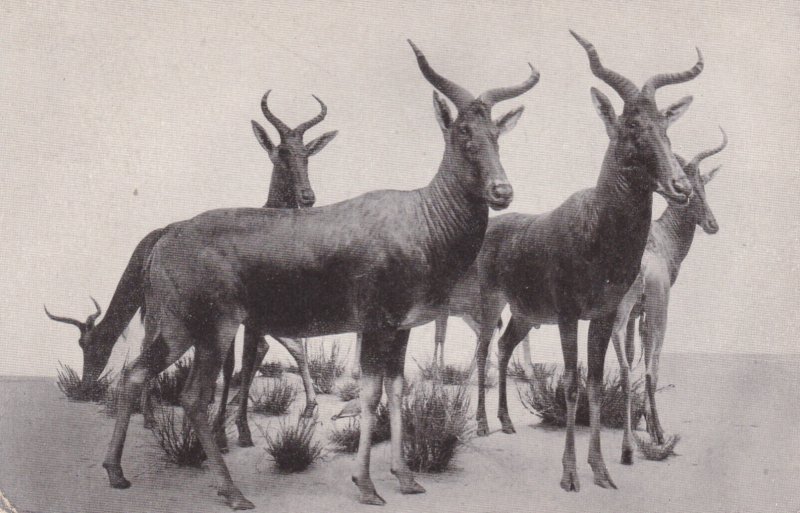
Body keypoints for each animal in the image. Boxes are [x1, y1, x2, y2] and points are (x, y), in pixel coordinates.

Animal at [98, 41, 536, 508]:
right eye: (463, 132)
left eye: (496, 134)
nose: (502, 192)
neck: (420, 216)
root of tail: (166, 236)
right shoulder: (374, 325)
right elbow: (369, 395)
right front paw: (366, 486)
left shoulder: (400, 330)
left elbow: (397, 392)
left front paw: (406, 478)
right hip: (214, 330)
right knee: (193, 397)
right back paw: (233, 492)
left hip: (178, 331)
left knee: (134, 373)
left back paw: (117, 473)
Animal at [466, 29, 704, 492]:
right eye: (631, 127)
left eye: (665, 127)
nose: (680, 186)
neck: (596, 226)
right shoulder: (567, 316)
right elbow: (572, 383)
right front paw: (570, 475)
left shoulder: (604, 315)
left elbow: (594, 384)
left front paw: (602, 470)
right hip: (491, 304)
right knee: (484, 349)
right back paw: (483, 425)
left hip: (524, 315)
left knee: (504, 348)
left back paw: (506, 422)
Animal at [608, 127, 728, 460]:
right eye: (689, 191)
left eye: (704, 186)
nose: (712, 225)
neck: (659, 237)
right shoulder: (651, 312)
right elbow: (650, 364)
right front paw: (651, 428)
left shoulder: (634, 315)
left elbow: (633, 356)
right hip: (658, 313)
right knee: (651, 368)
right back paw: (658, 436)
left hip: (613, 314)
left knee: (624, 365)